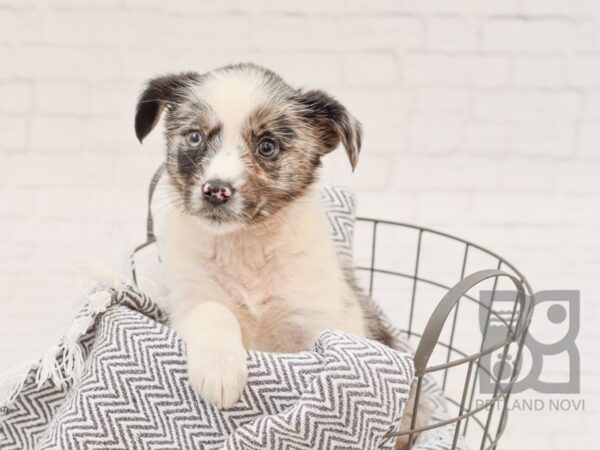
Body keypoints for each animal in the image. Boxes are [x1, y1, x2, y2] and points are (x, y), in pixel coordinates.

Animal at [136, 63, 426, 446]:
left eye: (267, 146)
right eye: (195, 137)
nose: (215, 191)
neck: (245, 246)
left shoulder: (317, 322)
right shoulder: (188, 298)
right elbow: (213, 310)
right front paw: (220, 368)